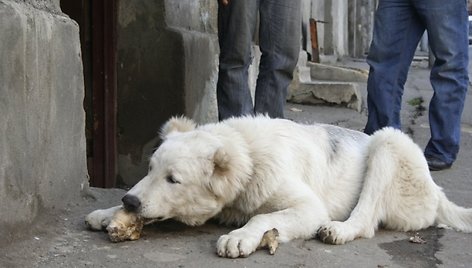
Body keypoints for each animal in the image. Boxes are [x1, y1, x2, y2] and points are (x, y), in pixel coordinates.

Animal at [85, 115, 472, 258]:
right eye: (150, 169)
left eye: (173, 180)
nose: (130, 201)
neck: (248, 152)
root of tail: (437, 193)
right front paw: (106, 212)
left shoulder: (308, 207)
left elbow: (262, 218)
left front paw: (240, 236)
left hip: (389, 143)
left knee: (366, 219)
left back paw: (340, 229)